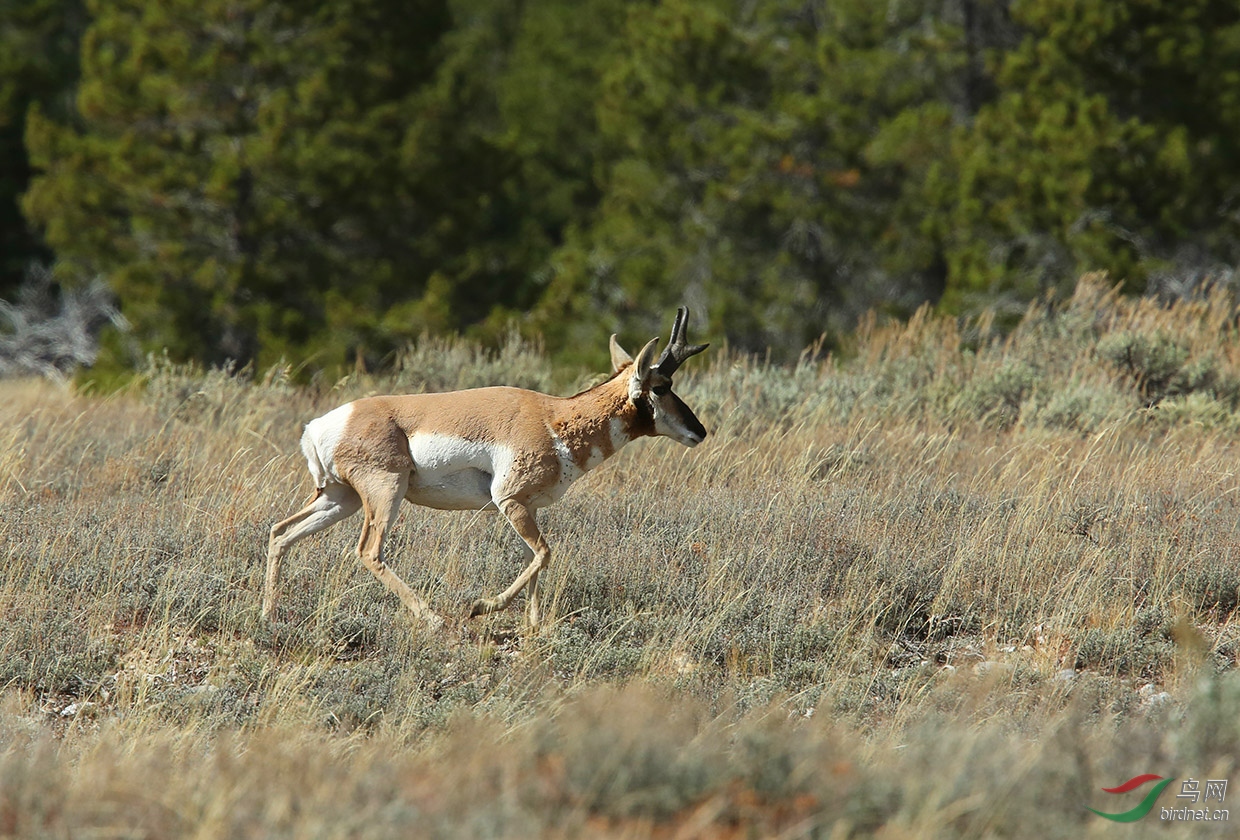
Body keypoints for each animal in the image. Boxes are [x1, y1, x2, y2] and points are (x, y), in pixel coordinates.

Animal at [261, 307, 709, 630]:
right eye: (661, 387)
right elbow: (544, 554)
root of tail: (321, 425)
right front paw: (481, 606)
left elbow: (536, 559)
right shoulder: (509, 501)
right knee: (369, 551)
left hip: (342, 498)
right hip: (385, 494)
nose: (700, 431)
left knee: (281, 532)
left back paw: (267, 615)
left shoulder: (528, 507)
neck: (553, 418)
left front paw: (532, 625)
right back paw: (433, 618)